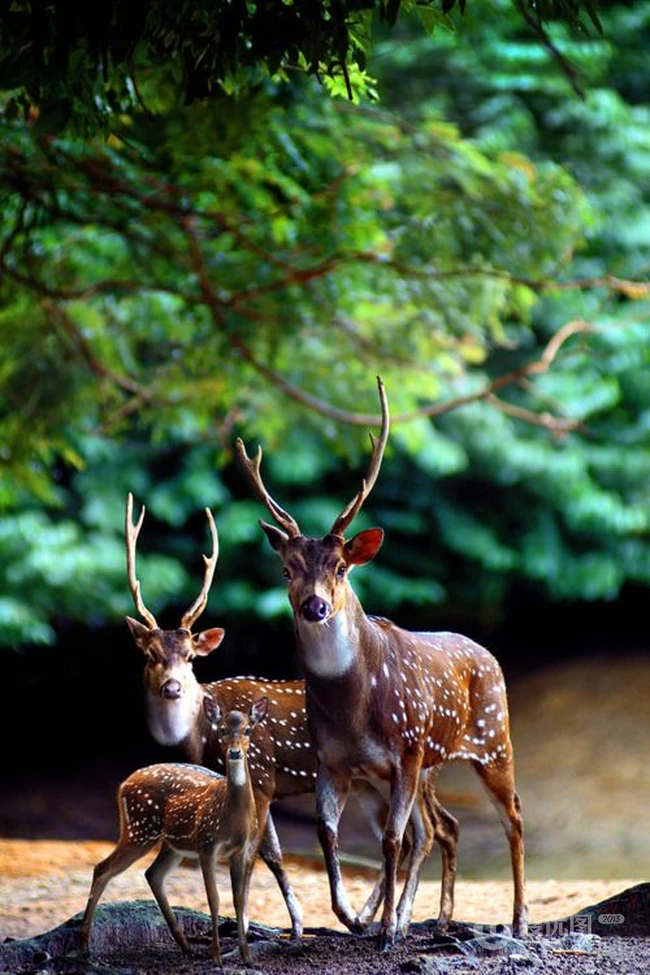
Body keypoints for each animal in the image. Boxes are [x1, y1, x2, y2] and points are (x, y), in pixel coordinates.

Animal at [80, 696, 270, 966]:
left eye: (247, 730)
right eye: (222, 730)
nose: (234, 752)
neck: (231, 818)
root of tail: (123, 785)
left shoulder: (240, 850)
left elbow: (239, 899)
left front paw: (247, 957)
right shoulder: (207, 844)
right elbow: (214, 899)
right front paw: (216, 957)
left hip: (171, 844)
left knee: (153, 874)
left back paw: (185, 944)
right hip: (139, 830)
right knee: (102, 868)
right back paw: (84, 946)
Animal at [124, 493, 460, 939]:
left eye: (191, 657)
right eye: (150, 655)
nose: (172, 688)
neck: (200, 736)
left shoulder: (261, 773)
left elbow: (263, 853)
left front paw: (281, 926)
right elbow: (272, 853)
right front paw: (291, 925)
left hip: (416, 770)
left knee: (430, 831)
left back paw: (396, 920)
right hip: (373, 782)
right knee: (423, 833)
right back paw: (385, 918)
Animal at [235, 375, 528, 951]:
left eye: (341, 567)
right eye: (286, 570)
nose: (315, 606)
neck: (354, 706)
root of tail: (488, 654)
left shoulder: (406, 749)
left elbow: (391, 841)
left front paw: (387, 929)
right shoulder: (334, 761)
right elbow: (328, 833)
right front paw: (352, 917)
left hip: (492, 738)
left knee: (510, 817)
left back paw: (518, 920)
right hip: (432, 762)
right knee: (442, 826)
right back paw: (434, 919)